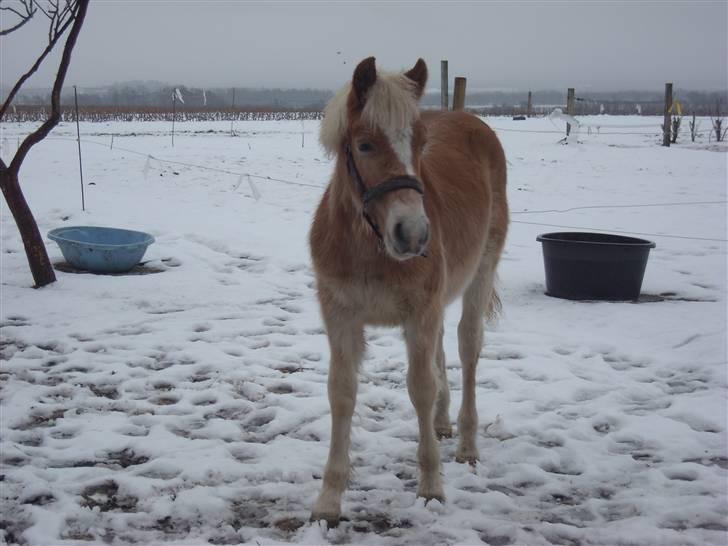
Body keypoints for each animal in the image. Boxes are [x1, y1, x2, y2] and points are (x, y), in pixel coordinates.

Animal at [310, 56, 510, 524]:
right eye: (365, 145)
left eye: (420, 143)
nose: (414, 234)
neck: (369, 246)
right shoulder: (341, 317)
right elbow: (341, 393)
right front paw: (329, 499)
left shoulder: (420, 314)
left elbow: (420, 387)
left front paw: (431, 486)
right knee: (442, 349)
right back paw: (441, 423)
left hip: (480, 273)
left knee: (467, 348)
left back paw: (467, 443)